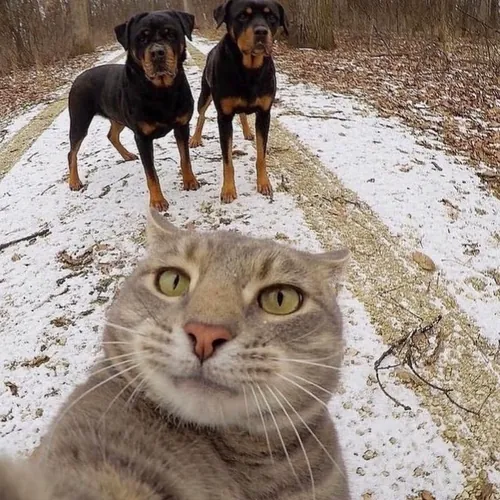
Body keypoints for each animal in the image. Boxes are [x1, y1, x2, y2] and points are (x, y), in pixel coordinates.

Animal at [67, 10, 198, 211]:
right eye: (141, 38)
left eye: (171, 34)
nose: (157, 53)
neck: (161, 92)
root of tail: (77, 79)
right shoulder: (142, 137)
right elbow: (151, 173)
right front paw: (158, 201)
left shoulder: (182, 126)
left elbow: (185, 158)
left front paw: (190, 181)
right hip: (79, 120)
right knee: (72, 152)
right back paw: (74, 181)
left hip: (117, 117)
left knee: (111, 135)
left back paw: (127, 155)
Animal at [189, 0, 288, 203]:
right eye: (242, 16)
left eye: (271, 17)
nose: (261, 31)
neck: (249, 69)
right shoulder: (224, 117)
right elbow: (227, 160)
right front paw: (228, 190)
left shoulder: (264, 114)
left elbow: (261, 154)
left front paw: (264, 183)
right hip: (205, 92)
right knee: (201, 115)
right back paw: (195, 138)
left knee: (242, 113)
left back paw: (247, 131)